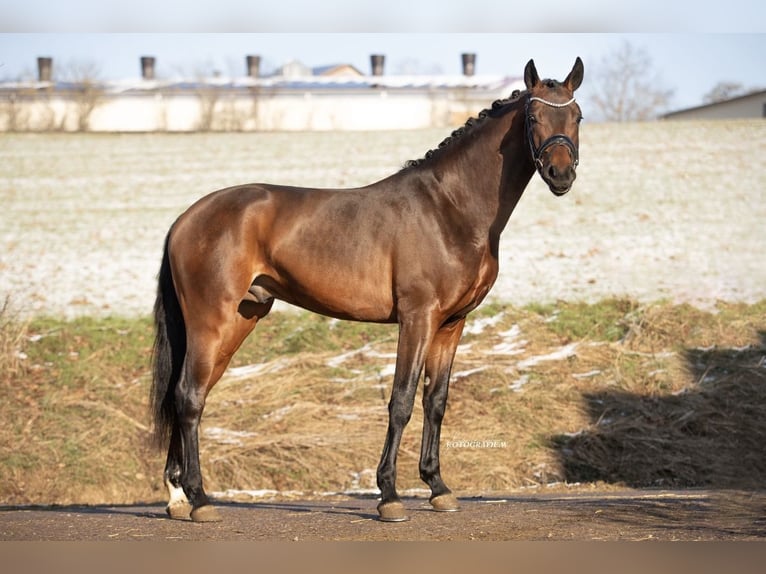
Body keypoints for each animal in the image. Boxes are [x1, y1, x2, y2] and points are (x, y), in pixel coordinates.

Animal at [152, 57, 588, 520]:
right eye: (533, 117)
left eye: (577, 116)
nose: (561, 174)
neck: (449, 208)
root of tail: (186, 219)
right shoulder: (417, 318)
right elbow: (401, 401)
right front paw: (389, 495)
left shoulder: (452, 324)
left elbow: (436, 401)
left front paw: (438, 487)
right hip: (211, 321)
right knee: (189, 396)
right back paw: (199, 500)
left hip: (239, 320)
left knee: (190, 395)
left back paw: (178, 497)